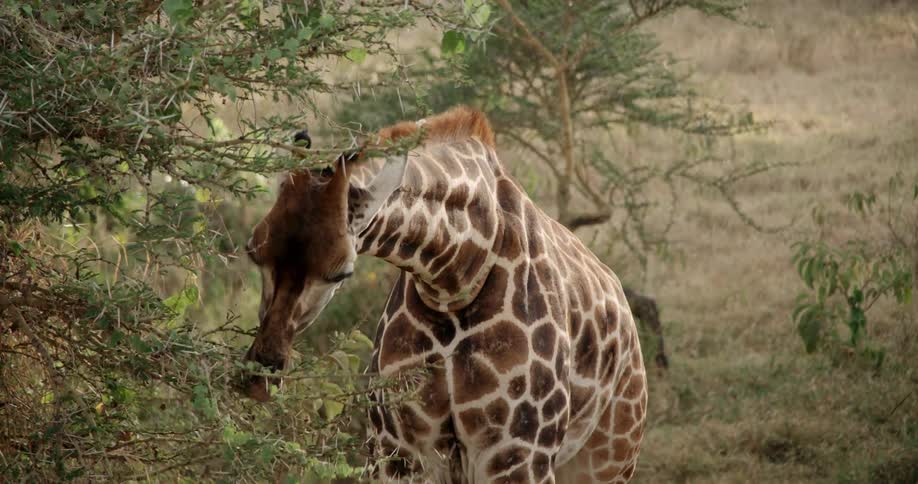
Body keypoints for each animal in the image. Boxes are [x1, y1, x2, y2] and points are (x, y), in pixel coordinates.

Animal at [243, 106, 647, 483]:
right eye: (253, 251)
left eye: (342, 271)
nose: (259, 377)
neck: (454, 279)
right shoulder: (397, 448)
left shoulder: (518, 455)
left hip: (607, 459)